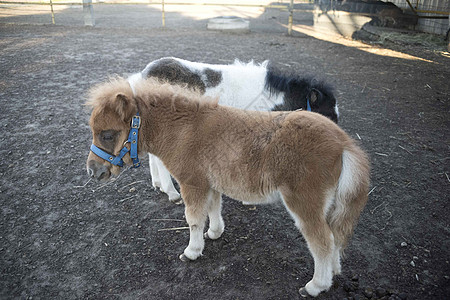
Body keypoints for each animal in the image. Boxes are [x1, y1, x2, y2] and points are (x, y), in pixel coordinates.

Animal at [85, 77, 370, 298]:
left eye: (107, 134)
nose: (92, 170)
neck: (183, 130)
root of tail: (343, 142)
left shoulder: (192, 182)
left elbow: (193, 219)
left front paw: (192, 251)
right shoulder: (210, 182)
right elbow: (214, 209)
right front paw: (214, 233)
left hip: (304, 203)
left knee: (322, 241)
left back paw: (315, 286)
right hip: (330, 205)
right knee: (335, 237)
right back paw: (333, 273)